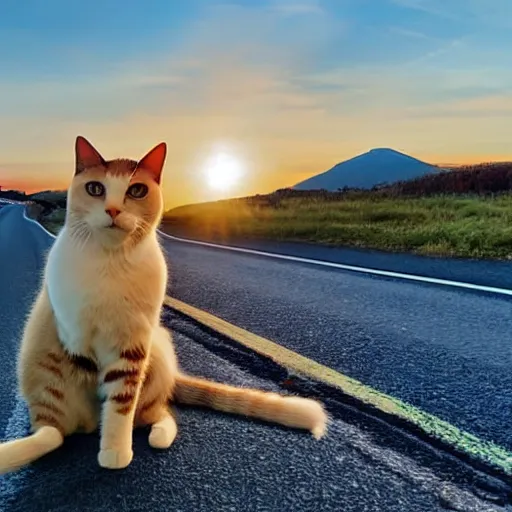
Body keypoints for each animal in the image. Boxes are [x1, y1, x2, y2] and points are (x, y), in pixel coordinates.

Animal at [0, 137, 328, 476]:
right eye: (95, 188)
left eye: (136, 191)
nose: (113, 209)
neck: (111, 262)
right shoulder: (76, 336)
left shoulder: (132, 348)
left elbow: (121, 403)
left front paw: (115, 452)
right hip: (44, 374)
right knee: (51, 433)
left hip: (155, 347)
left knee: (157, 413)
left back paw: (156, 436)